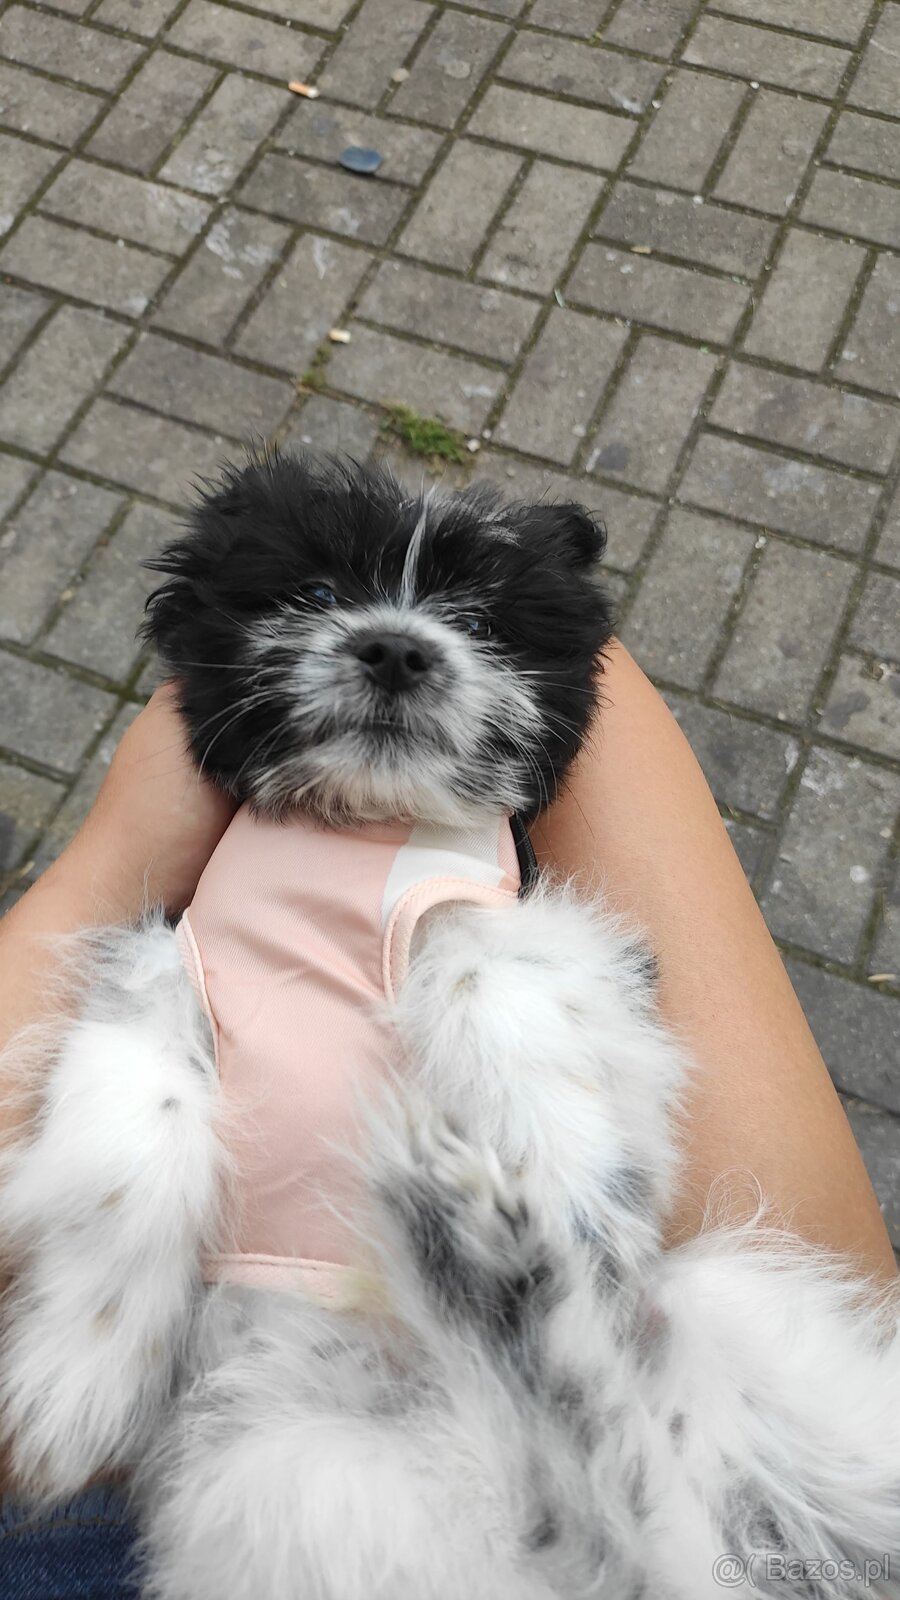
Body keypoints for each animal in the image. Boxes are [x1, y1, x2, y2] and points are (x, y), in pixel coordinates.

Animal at [0, 452, 898, 1600]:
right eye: (314, 592)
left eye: (479, 617)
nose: (396, 645)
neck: (359, 829)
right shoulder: (167, 959)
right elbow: (138, 1120)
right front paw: (83, 1366)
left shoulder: (503, 910)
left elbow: (493, 980)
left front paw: (568, 1187)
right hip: (292, 1472)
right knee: (605, 1522)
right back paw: (490, 1278)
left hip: (746, 1323)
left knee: (635, 1515)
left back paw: (501, 1267)